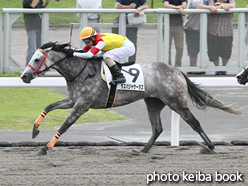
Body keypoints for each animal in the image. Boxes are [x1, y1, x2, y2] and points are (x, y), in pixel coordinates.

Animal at [20, 42, 242, 155]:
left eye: (37, 59)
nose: (23, 76)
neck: (80, 70)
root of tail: (177, 71)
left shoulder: (82, 105)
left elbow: (65, 126)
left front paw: (45, 148)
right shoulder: (73, 100)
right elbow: (49, 106)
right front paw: (34, 130)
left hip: (176, 102)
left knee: (194, 122)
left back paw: (210, 146)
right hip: (153, 103)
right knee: (157, 128)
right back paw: (142, 150)